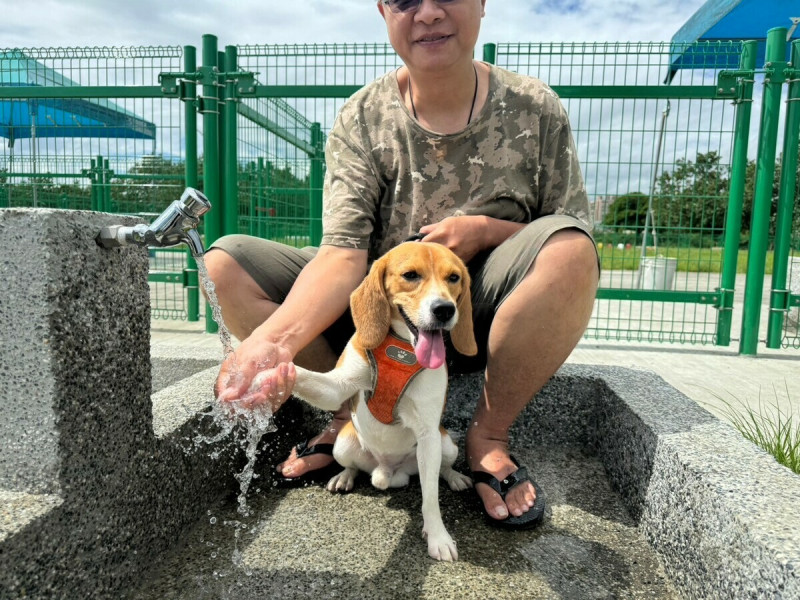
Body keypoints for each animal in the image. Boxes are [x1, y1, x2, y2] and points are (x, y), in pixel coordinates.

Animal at [278, 241, 476, 560]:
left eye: (454, 278)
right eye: (411, 275)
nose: (445, 309)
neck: (402, 348)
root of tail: (387, 470)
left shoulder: (428, 435)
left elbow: (430, 496)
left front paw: (438, 537)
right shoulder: (337, 387)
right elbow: (308, 378)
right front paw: (265, 370)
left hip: (445, 444)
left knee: (440, 469)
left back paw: (454, 476)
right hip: (342, 444)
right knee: (353, 466)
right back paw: (344, 477)